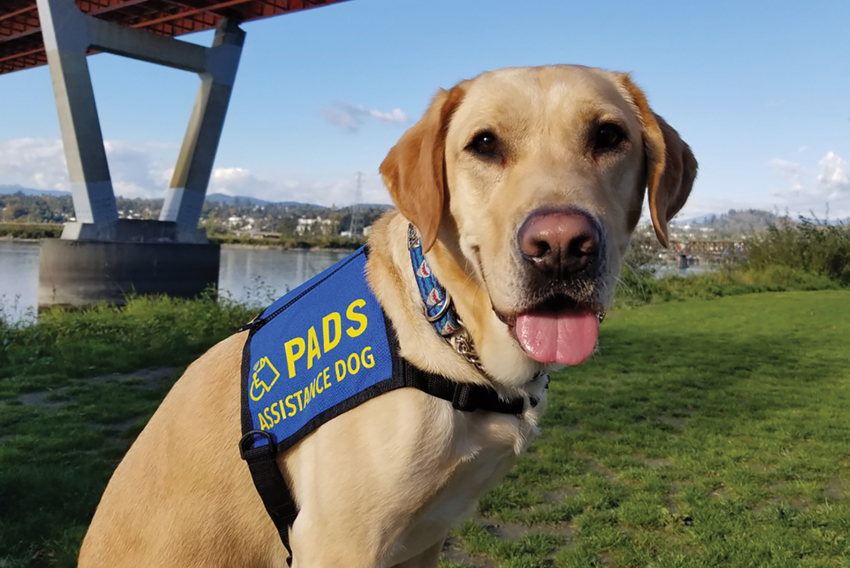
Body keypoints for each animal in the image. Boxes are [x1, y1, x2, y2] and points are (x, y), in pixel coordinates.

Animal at [78, 66, 696, 568]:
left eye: (608, 136)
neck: (450, 336)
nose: (562, 246)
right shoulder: (337, 543)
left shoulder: (424, 539)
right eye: (485, 144)